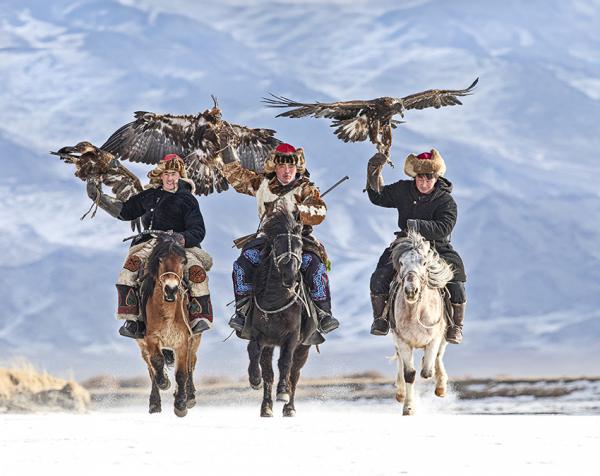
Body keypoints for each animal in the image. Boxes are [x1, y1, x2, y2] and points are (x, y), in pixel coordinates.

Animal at [136, 233, 202, 416]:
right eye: (160, 260)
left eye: (183, 261)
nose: (171, 289)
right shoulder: (150, 338)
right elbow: (157, 362)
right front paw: (164, 382)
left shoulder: (183, 341)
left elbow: (182, 373)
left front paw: (181, 405)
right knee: (151, 369)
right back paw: (154, 403)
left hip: (195, 340)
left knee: (191, 363)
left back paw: (190, 395)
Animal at [248, 206, 314, 418]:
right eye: (277, 244)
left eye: (300, 244)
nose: (290, 276)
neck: (275, 300)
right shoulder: (259, 335)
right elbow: (254, 353)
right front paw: (254, 379)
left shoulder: (292, 337)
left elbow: (285, 363)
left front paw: (283, 393)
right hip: (270, 346)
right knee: (269, 373)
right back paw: (266, 407)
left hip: (304, 347)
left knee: (294, 374)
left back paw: (289, 407)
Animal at [390, 230, 454, 412]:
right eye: (401, 262)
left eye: (424, 262)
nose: (411, 291)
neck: (415, 311)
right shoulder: (402, 340)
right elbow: (409, 374)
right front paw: (408, 408)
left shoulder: (435, 337)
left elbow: (427, 371)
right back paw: (400, 392)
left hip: (446, 335)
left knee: (438, 357)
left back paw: (440, 387)